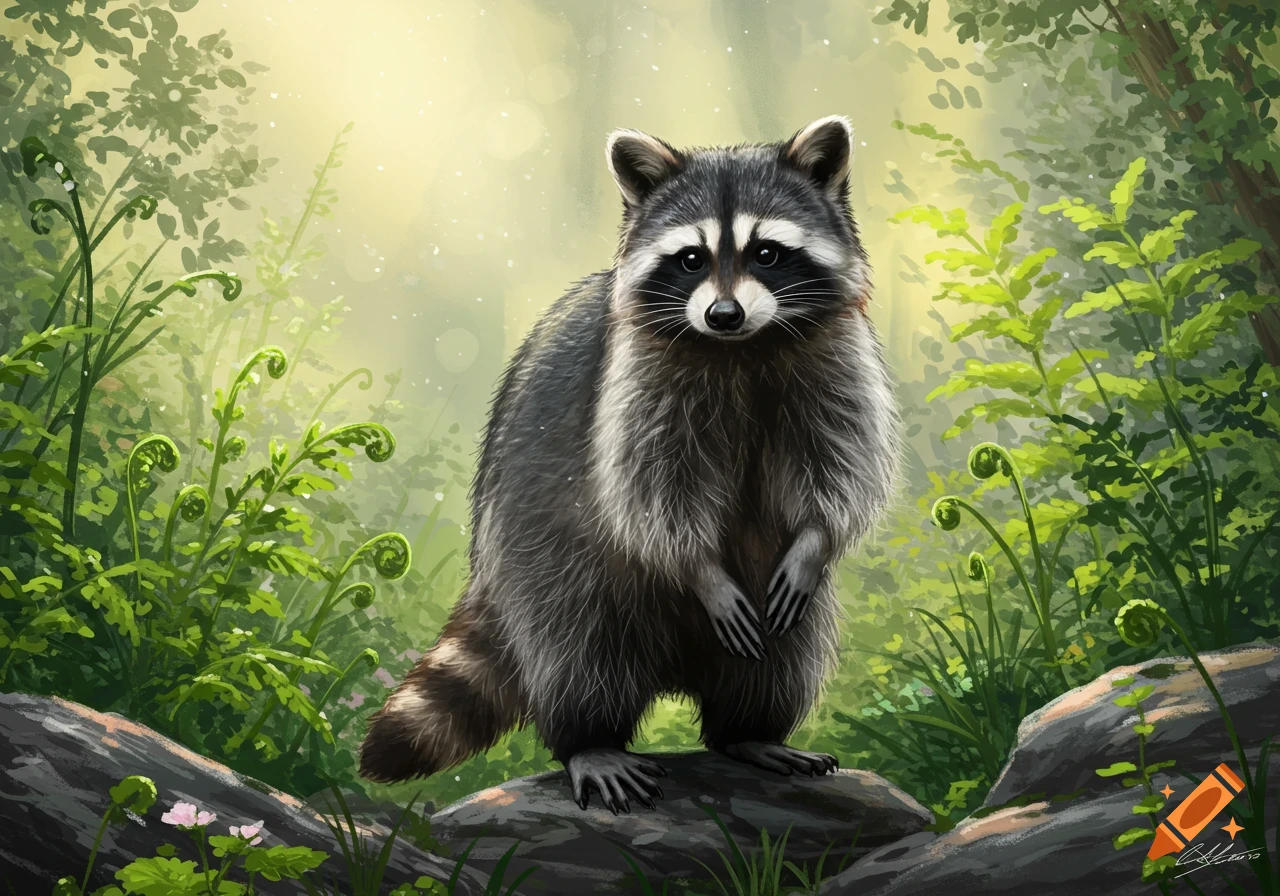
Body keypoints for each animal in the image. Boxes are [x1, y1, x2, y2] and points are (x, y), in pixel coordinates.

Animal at [359, 116, 900, 813]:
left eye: (767, 253)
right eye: (691, 258)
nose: (723, 314)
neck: (742, 348)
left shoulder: (836, 359)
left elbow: (844, 467)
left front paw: (816, 539)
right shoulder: (632, 382)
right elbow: (650, 493)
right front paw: (699, 568)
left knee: (783, 656)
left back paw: (749, 731)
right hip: (543, 553)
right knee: (579, 646)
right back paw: (590, 739)